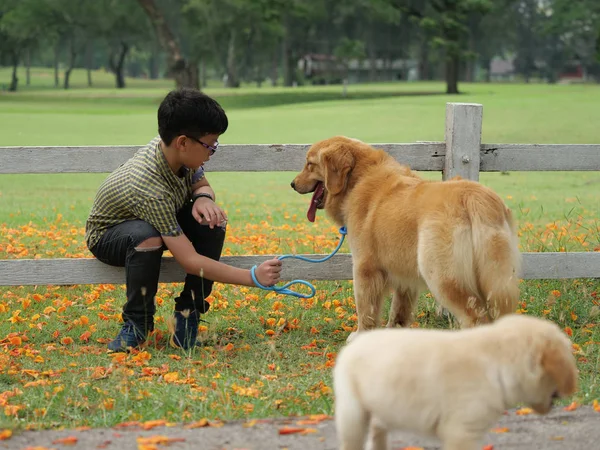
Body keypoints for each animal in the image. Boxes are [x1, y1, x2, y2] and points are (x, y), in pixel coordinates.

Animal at [290, 135, 520, 336]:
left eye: (309, 164)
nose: (292, 184)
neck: (357, 178)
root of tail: (474, 198)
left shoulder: (365, 268)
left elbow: (366, 309)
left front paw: (360, 336)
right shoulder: (404, 275)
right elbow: (399, 312)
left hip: (443, 277)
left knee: (475, 318)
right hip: (495, 281)